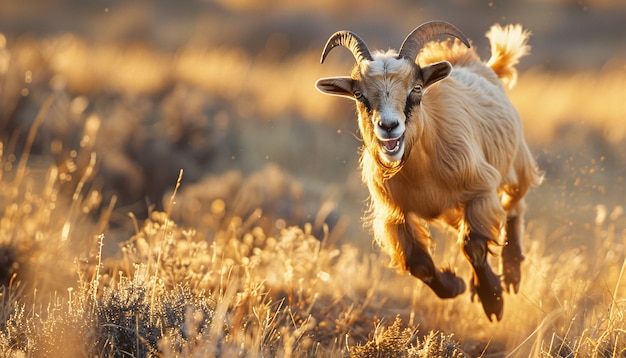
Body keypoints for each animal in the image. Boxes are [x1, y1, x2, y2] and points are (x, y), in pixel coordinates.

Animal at [314, 21, 540, 320]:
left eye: (417, 88)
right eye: (359, 94)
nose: (389, 126)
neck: (424, 173)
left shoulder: (480, 191)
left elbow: (473, 247)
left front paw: (492, 300)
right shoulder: (394, 214)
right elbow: (417, 263)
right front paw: (455, 285)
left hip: (517, 164)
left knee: (515, 205)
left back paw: (512, 272)